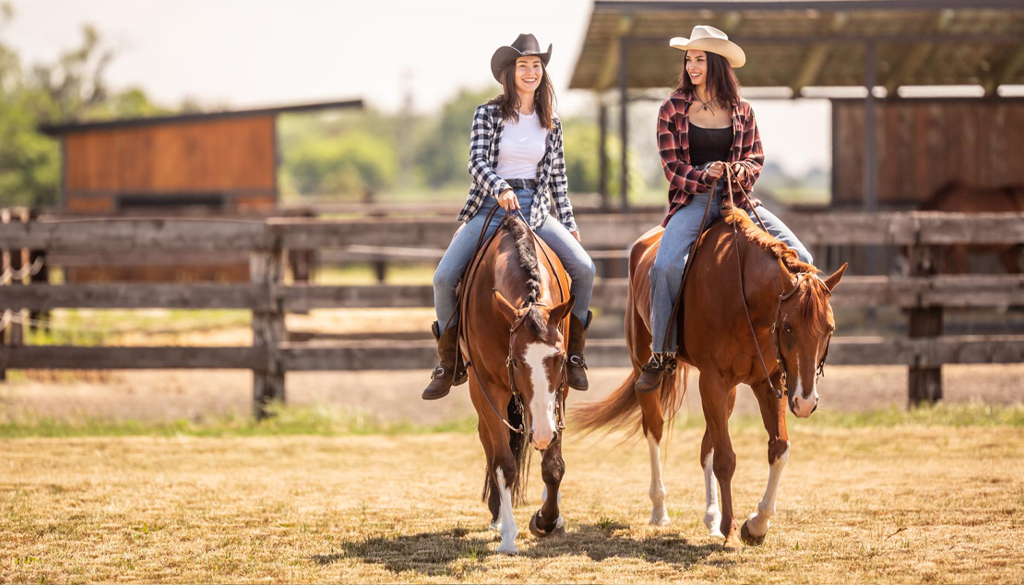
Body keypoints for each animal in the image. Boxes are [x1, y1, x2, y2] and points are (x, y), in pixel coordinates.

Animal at [462, 214, 577, 553]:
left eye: (561, 358)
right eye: (514, 362)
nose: (541, 434)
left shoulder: (560, 392)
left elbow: (553, 465)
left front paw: (547, 520)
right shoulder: (486, 388)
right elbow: (504, 463)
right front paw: (508, 536)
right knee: (490, 444)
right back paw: (498, 516)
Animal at [577, 205, 847, 549]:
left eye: (830, 328)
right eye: (787, 327)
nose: (805, 402)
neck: (744, 296)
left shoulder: (767, 382)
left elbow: (778, 448)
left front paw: (755, 525)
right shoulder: (713, 381)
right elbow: (726, 459)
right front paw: (732, 529)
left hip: (729, 391)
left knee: (707, 444)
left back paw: (711, 517)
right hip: (644, 367)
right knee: (654, 428)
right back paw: (660, 510)